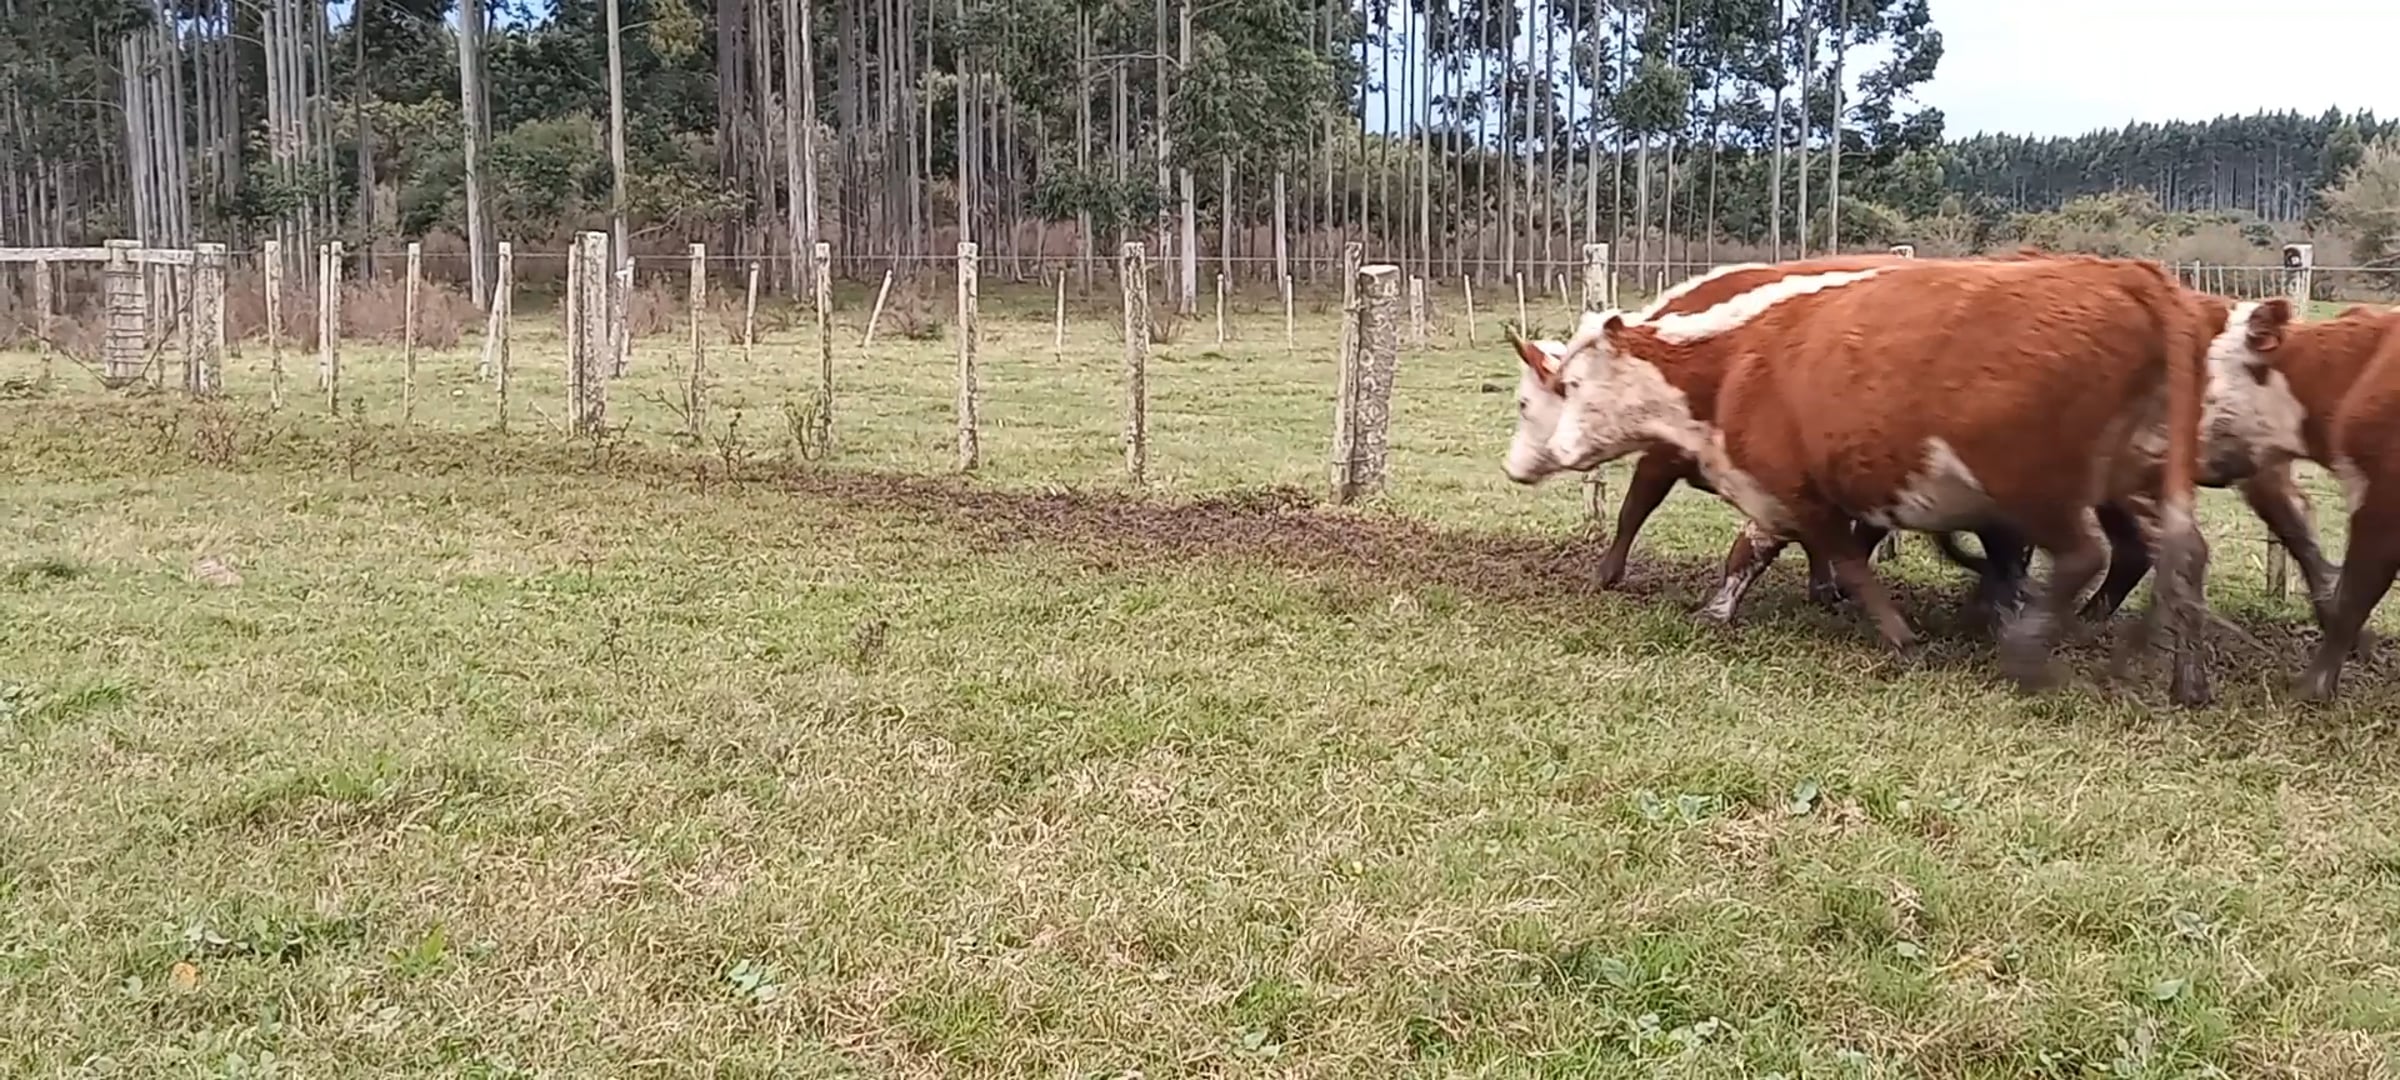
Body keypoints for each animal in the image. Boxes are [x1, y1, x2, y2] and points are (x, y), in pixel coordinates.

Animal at [1525, 254, 2221, 704]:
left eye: (1569, 387)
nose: (1537, 456)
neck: (1733, 359)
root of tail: (2129, 277)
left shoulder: (1785, 486)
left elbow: (1829, 557)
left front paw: (1897, 633)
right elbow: (1779, 550)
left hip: (2035, 484)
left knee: (2086, 556)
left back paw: (2029, 650)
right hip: (2140, 478)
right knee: (2178, 555)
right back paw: (2180, 678)